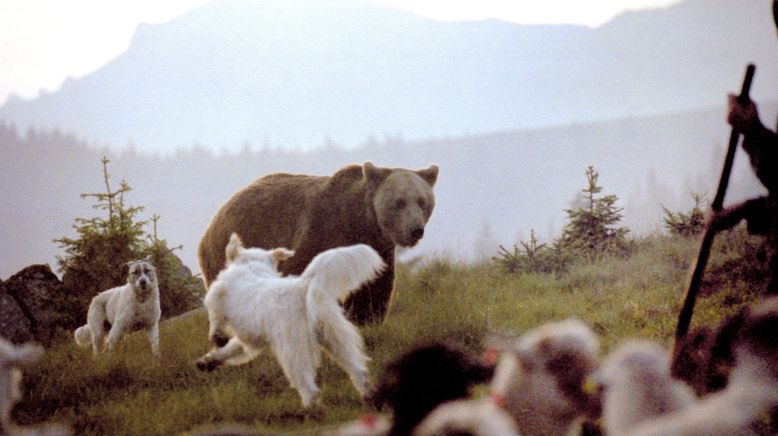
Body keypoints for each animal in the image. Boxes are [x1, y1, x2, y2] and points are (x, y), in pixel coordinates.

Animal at [196, 163, 436, 324]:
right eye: (400, 202)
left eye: (422, 201)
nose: (416, 230)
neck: (360, 222)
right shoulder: (321, 229)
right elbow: (298, 269)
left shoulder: (377, 248)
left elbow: (374, 287)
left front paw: (366, 319)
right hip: (225, 251)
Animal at [196, 233, 384, 408]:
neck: (251, 266)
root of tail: (302, 286)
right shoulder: (250, 341)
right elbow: (231, 349)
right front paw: (208, 361)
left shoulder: (217, 295)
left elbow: (216, 319)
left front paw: (216, 338)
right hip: (334, 338)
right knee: (359, 371)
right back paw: (368, 397)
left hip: (292, 349)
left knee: (308, 386)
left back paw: (309, 409)